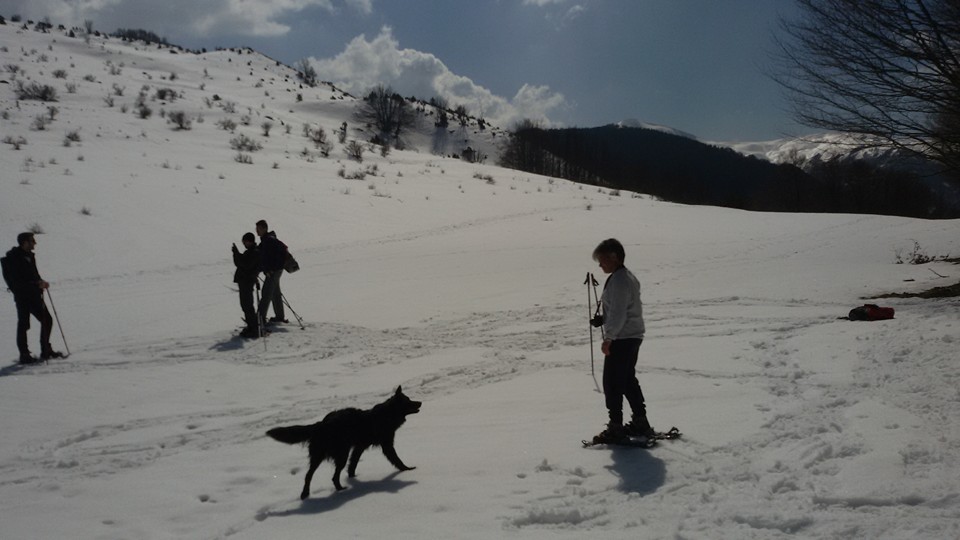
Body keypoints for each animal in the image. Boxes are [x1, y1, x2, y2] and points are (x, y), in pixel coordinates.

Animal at [268, 386, 422, 500]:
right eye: (408, 401)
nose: (420, 402)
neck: (387, 415)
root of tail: (321, 425)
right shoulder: (386, 445)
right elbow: (397, 459)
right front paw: (407, 469)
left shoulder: (359, 446)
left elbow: (353, 463)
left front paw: (353, 478)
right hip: (341, 454)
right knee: (333, 476)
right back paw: (341, 490)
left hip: (318, 456)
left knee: (308, 475)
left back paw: (305, 494)